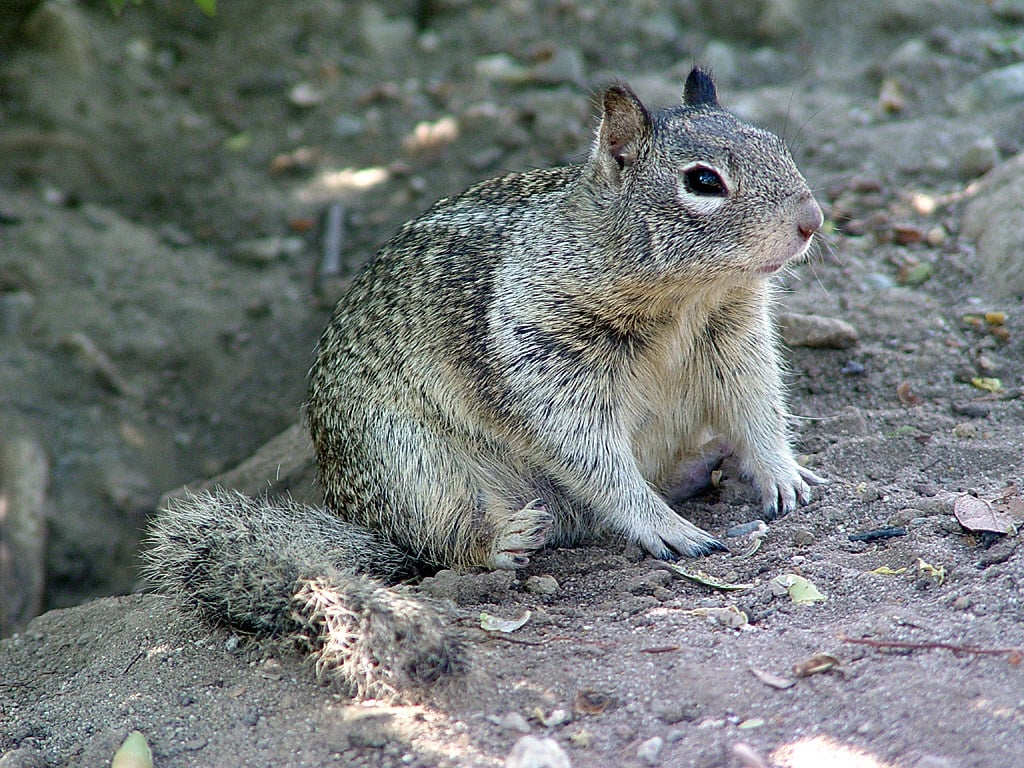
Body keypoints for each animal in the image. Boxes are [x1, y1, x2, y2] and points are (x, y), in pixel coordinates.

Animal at [144, 69, 827, 700]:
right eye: (703, 181)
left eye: (777, 144)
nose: (812, 220)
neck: (683, 300)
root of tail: (363, 525)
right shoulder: (545, 356)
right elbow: (589, 454)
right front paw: (663, 524)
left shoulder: (735, 335)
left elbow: (756, 405)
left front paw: (783, 472)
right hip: (414, 471)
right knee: (440, 544)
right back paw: (504, 537)